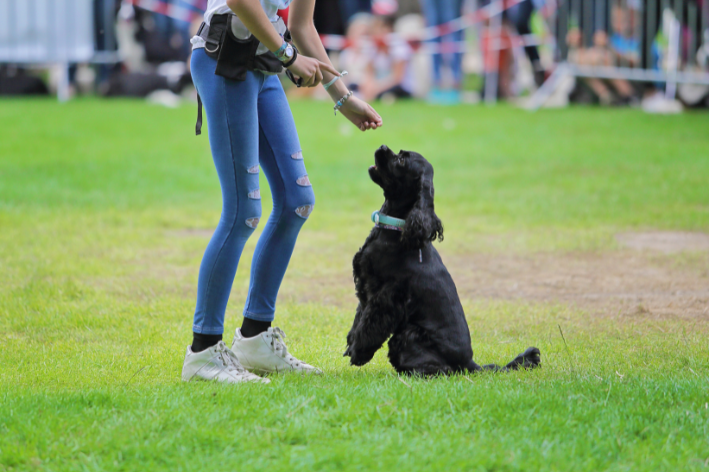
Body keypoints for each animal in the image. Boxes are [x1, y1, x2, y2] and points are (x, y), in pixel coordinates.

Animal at [344, 146, 544, 374]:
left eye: (402, 160)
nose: (382, 147)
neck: (396, 229)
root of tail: (470, 363)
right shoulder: (366, 290)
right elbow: (359, 319)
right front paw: (351, 345)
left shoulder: (386, 295)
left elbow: (369, 324)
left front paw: (358, 353)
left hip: (409, 334)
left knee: (441, 369)